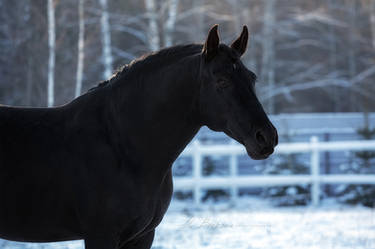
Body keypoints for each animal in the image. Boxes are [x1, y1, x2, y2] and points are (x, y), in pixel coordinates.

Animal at [0, 25, 276, 249]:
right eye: (221, 81)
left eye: (251, 78)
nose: (267, 137)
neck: (121, 145)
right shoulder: (101, 235)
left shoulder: (142, 236)